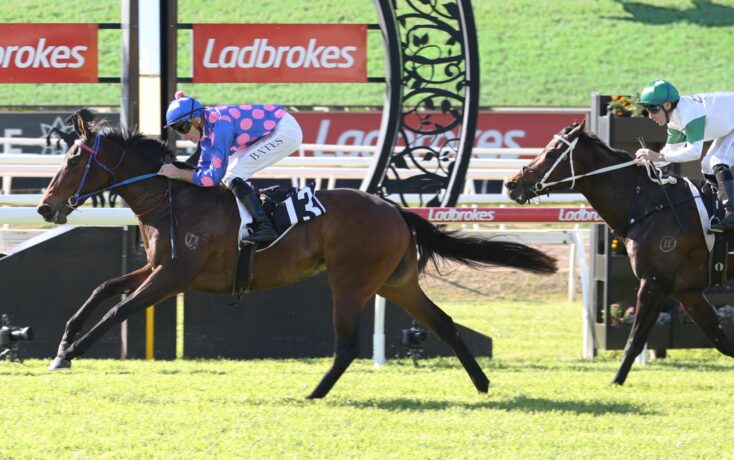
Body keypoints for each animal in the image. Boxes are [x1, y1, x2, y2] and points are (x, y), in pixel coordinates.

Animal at [36, 111, 558, 399]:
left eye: (73, 159)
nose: (45, 206)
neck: (173, 199)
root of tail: (393, 208)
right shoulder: (156, 265)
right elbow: (104, 288)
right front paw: (64, 342)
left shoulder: (174, 275)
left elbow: (121, 308)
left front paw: (71, 355)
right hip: (397, 283)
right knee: (445, 324)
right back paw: (483, 384)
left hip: (350, 282)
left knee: (347, 346)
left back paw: (314, 392)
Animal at [504, 120, 734, 385]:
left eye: (551, 153)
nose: (511, 184)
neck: (649, 205)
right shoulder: (687, 291)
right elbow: (723, 342)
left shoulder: (654, 283)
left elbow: (635, 340)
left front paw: (616, 381)